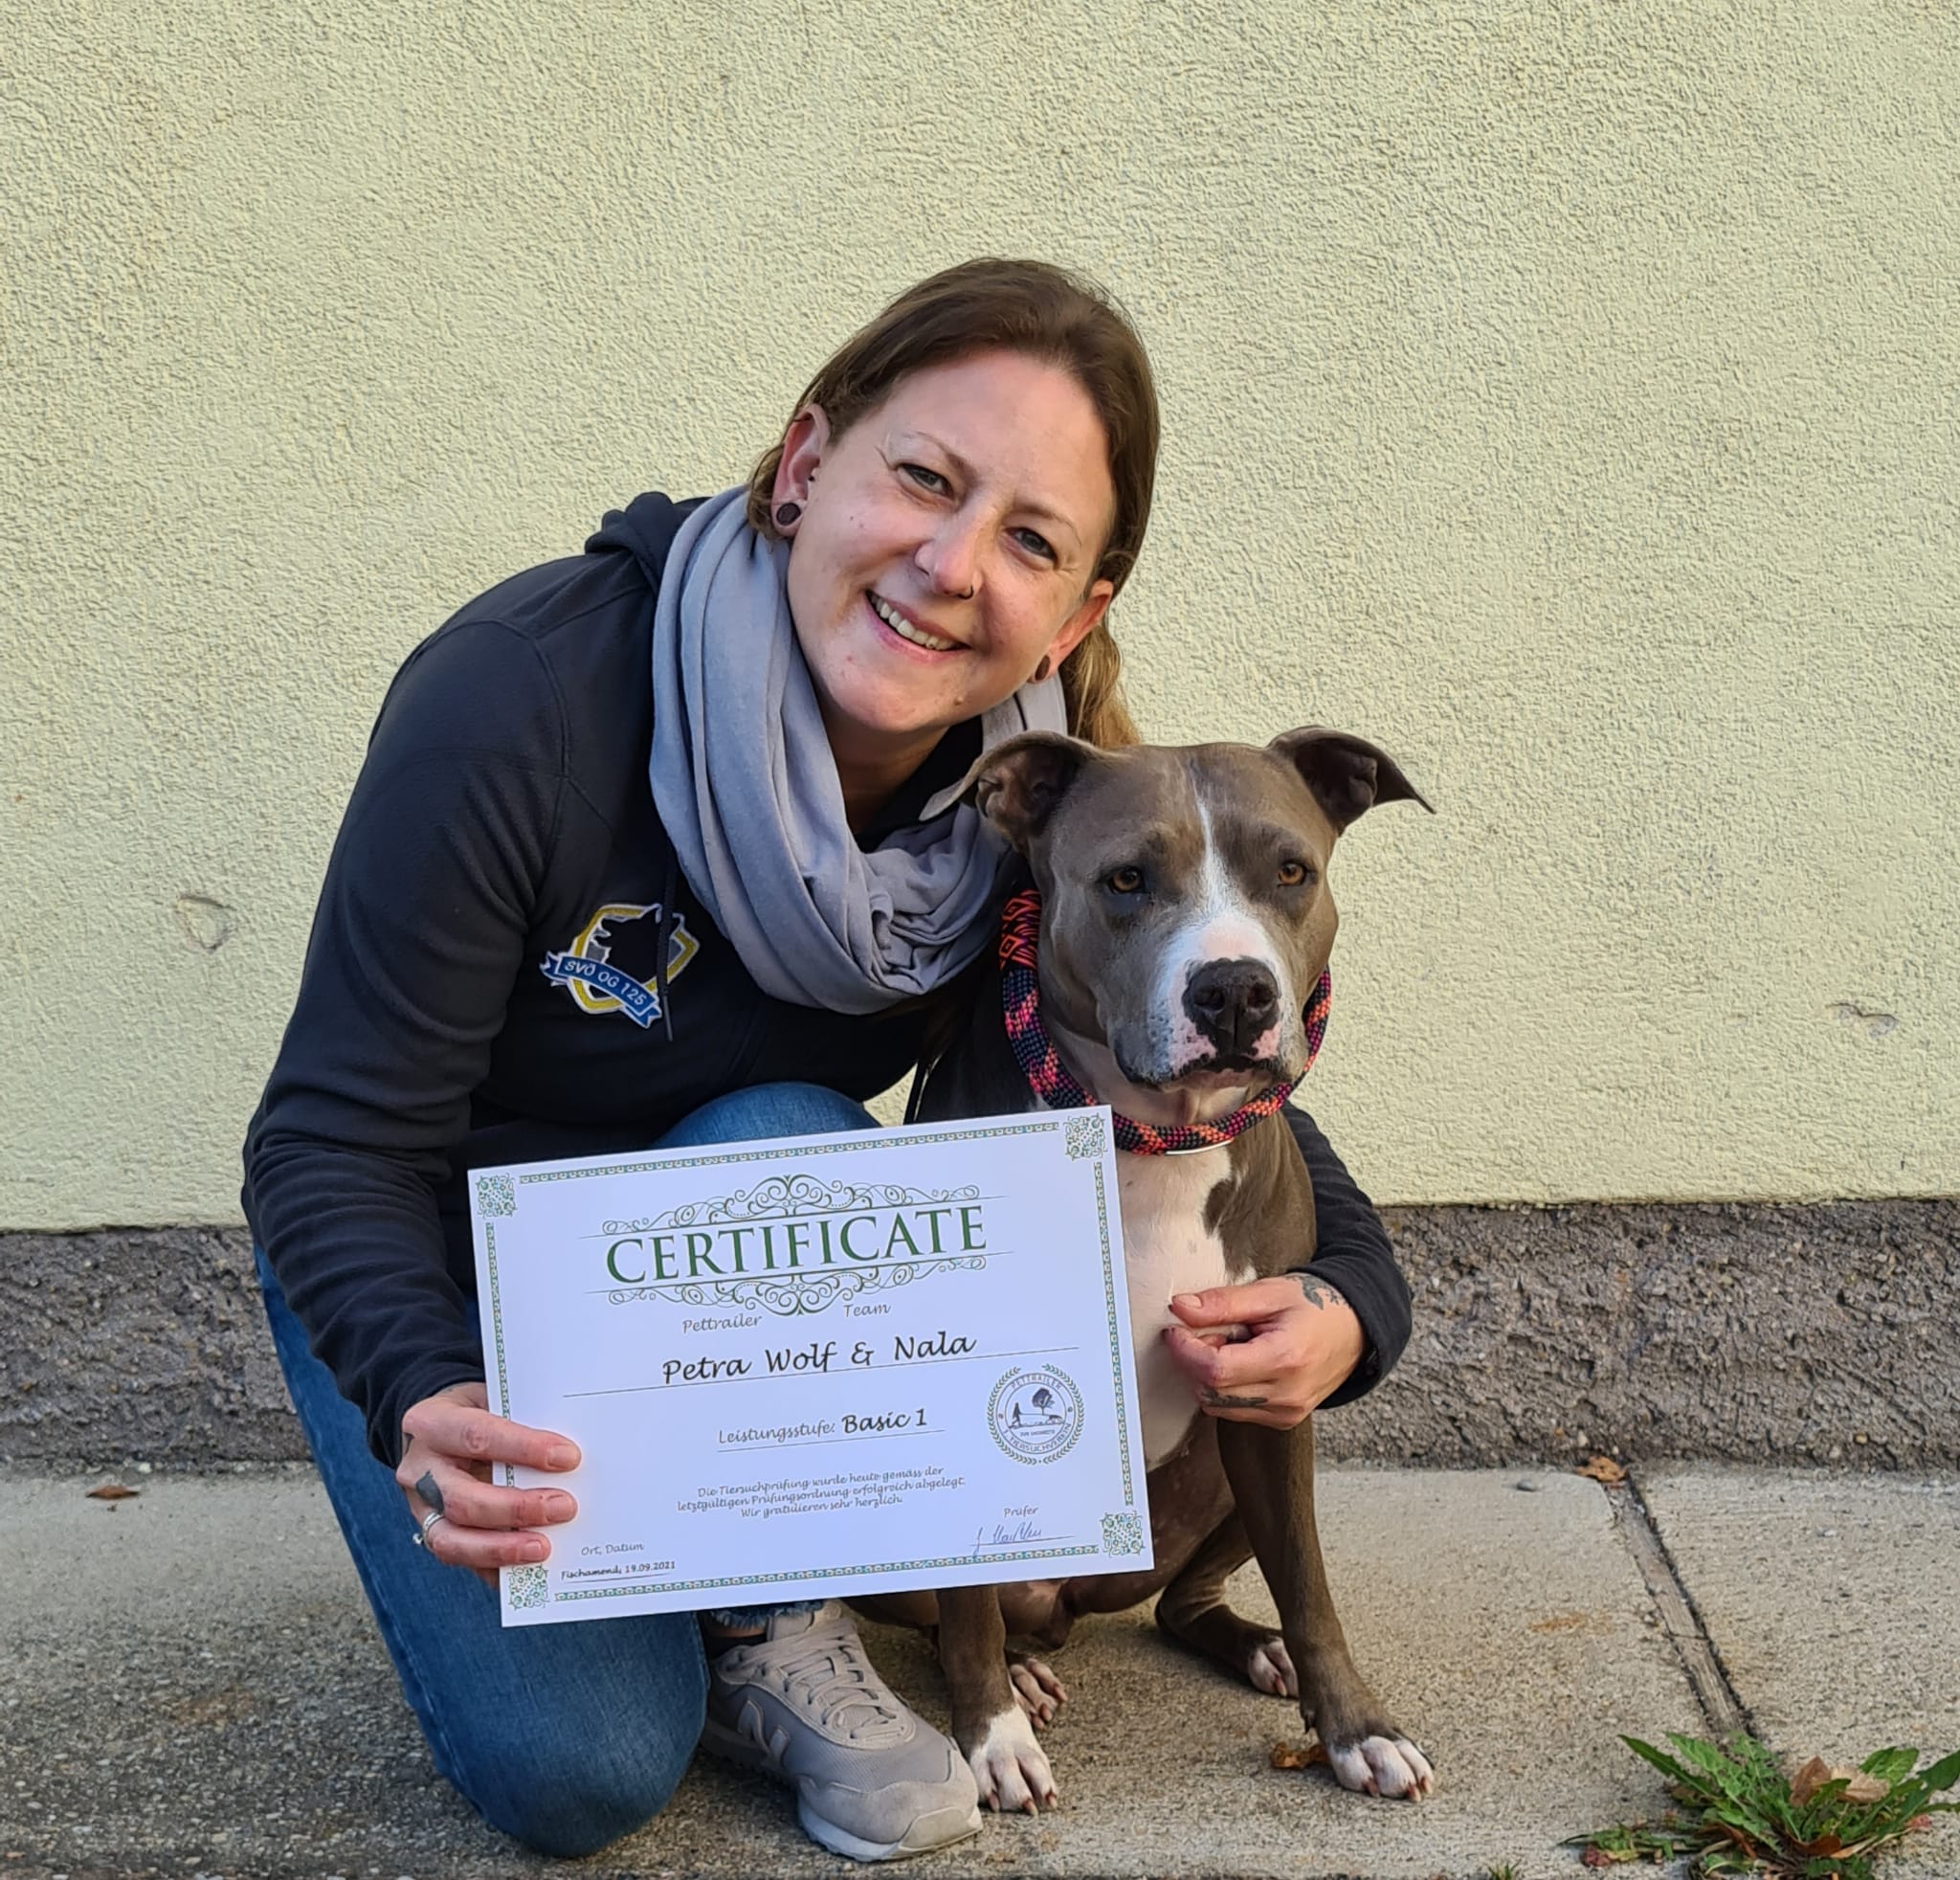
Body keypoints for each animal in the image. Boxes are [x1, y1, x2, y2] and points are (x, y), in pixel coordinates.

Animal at [854, 725, 1434, 1814]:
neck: (1150, 1142)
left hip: (1237, 1469)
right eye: (1126, 879)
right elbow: (963, 1613)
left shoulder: (1270, 1393)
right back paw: (1019, 1676)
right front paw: (991, 1738)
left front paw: (1357, 1729)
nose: (1236, 990)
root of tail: (1068, 1603)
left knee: (1183, 1603)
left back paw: (1255, 1647)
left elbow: (1310, 1584)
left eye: (1290, 870)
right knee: (961, 1617)